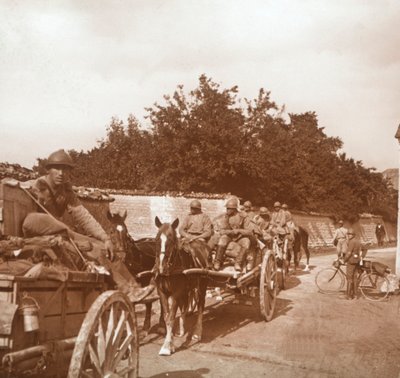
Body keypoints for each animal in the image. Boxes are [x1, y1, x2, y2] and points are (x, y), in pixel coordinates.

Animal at [154, 217, 209, 356]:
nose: (162, 267)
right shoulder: (162, 292)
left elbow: (171, 317)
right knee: (184, 306)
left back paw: (197, 333)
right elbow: (167, 317)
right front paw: (171, 342)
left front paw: (167, 346)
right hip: (188, 289)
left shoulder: (176, 292)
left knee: (200, 306)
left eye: (172, 240)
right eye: (156, 239)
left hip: (202, 286)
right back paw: (183, 330)